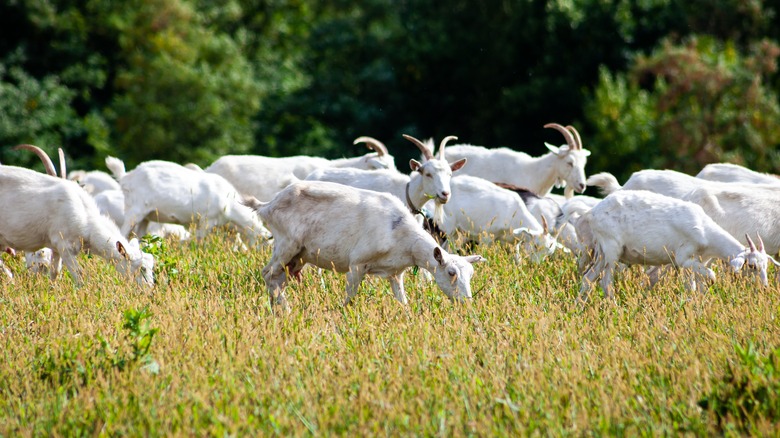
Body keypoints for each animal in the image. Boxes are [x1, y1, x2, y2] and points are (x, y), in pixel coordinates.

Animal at [119, 160, 272, 245]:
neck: (230, 205)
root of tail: (126, 177)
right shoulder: (207, 220)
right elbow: (200, 240)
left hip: (145, 216)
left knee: (139, 235)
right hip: (135, 209)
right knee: (123, 232)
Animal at [247, 180, 484, 310]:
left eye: (471, 274)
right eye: (451, 272)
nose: (466, 302)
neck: (401, 236)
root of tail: (266, 206)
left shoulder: (395, 273)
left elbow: (403, 301)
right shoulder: (357, 264)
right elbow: (349, 299)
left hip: (298, 257)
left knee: (277, 280)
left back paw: (279, 310)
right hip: (287, 244)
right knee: (267, 274)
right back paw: (284, 310)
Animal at [576, 191, 776, 302]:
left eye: (766, 265)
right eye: (752, 266)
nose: (765, 287)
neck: (705, 232)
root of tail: (591, 213)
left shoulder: (697, 262)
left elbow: (695, 287)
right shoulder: (683, 258)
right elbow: (711, 276)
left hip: (602, 253)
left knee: (588, 278)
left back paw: (579, 307)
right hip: (612, 250)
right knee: (605, 283)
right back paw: (613, 307)